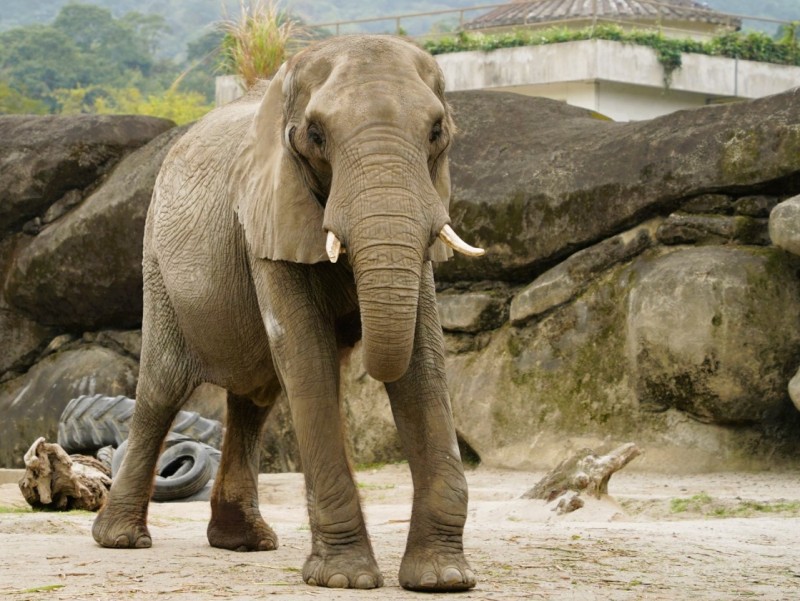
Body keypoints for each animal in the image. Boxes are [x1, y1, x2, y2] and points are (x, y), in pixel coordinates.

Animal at [91, 34, 484, 592]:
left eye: (436, 132)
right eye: (315, 135)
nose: (356, 342)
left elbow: (424, 363)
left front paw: (442, 579)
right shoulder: (267, 214)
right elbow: (308, 358)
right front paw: (343, 579)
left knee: (255, 395)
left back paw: (244, 541)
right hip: (157, 266)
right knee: (162, 390)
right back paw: (121, 539)